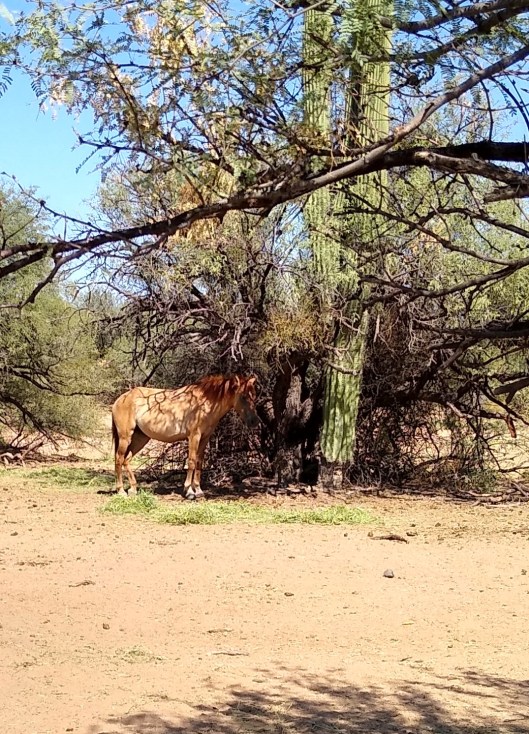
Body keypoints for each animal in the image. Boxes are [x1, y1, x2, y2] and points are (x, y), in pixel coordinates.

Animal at [111, 374, 258, 500]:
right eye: (243, 397)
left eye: (254, 396)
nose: (254, 421)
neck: (204, 404)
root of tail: (120, 399)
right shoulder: (194, 436)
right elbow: (192, 461)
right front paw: (189, 491)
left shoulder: (205, 438)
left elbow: (199, 462)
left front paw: (198, 490)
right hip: (125, 437)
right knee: (119, 459)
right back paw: (121, 491)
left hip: (140, 438)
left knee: (126, 460)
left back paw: (132, 489)